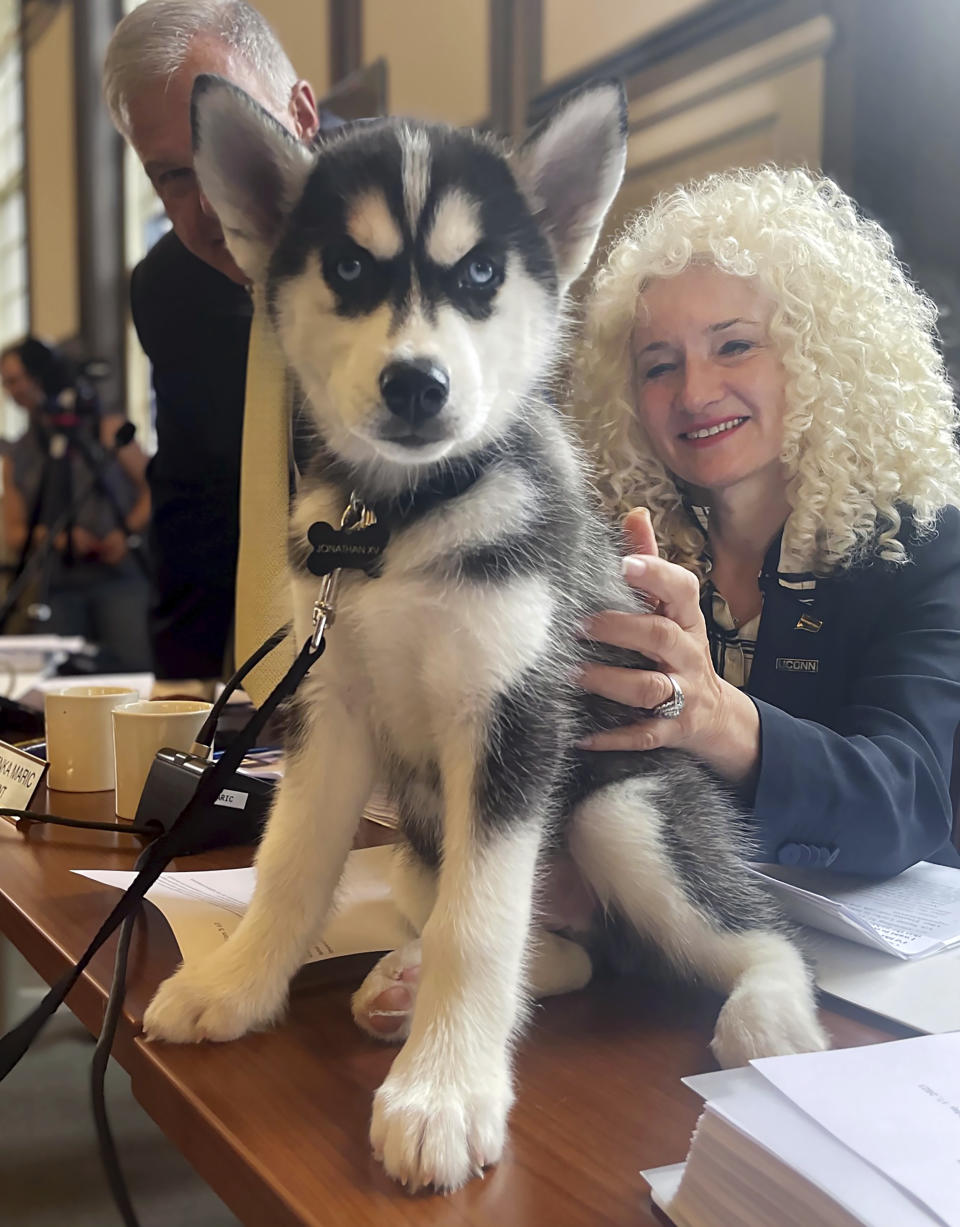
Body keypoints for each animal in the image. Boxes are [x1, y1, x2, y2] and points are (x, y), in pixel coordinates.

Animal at [143, 76, 824, 1187]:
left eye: (479, 275)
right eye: (348, 268)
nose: (416, 384)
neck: (404, 519)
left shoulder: (513, 718)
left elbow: (482, 922)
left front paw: (444, 1092)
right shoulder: (332, 707)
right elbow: (292, 864)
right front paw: (237, 982)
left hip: (620, 809)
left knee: (747, 929)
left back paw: (769, 1013)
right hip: (421, 848)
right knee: (560, 951)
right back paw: (403, 983)